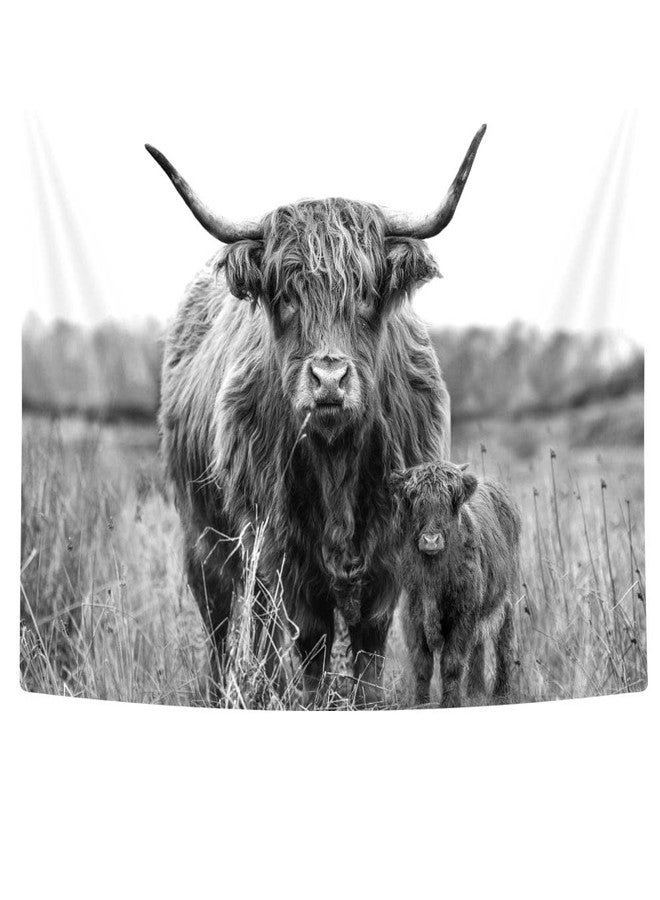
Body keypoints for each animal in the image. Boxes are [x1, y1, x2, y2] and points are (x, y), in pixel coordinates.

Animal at [146, 126, 486, 704]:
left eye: (368, 295)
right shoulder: (285, 550)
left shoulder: (390, 555)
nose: (329, 379)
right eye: (286, 296)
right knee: (226, 622)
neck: (336, 459)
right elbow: (310, 644)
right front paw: (307, 700)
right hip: (205, 537)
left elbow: (369, 648)